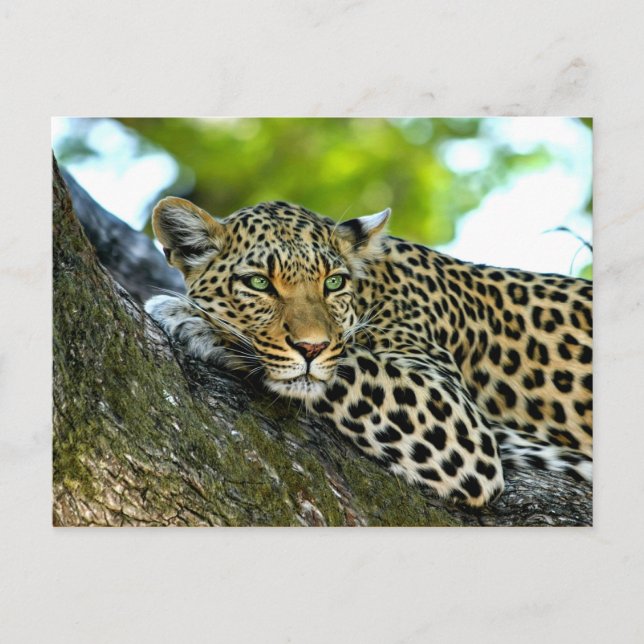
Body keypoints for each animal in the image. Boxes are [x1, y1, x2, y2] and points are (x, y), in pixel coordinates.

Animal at [145, 197, 593, 507]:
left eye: (333, 283)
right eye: (258, 283)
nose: (311, 346)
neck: (373, 289)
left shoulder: (459, 423)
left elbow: (346, 364)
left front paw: (194, 320)